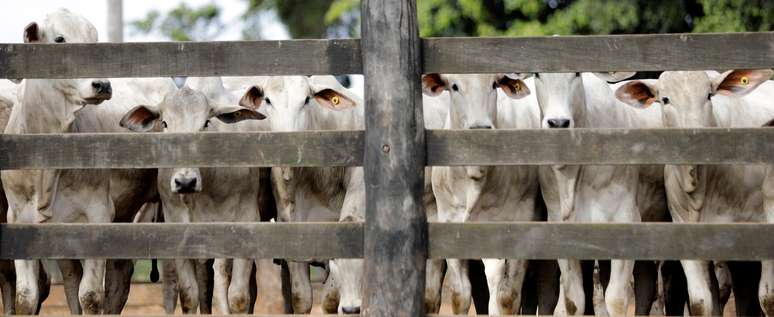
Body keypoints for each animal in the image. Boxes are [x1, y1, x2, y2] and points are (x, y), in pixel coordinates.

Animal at [120, 78, 266, 314]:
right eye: (165, 123)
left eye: (205, 124)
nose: (185, 182)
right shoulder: (179, 231)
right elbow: (189, 296)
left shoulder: (247, 222)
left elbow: (239, 298)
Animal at [422, 73, 556, 314]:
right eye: (454, 86)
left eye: (494, 84)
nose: (480, 128)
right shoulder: (450, 225)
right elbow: (461, 295)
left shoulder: (518, 227)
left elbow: (505, 297)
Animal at [620, 69, 774, 316]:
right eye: (665, 99)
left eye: (709, 95)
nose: (695, 137)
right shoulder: (688, 239)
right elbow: (700, 303)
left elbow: (767, 298)